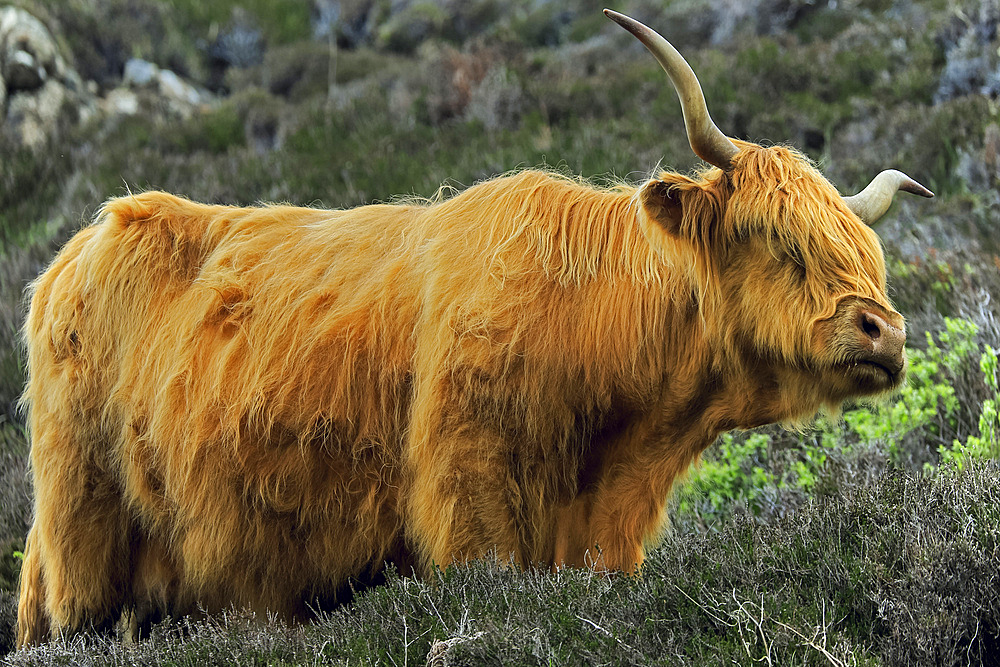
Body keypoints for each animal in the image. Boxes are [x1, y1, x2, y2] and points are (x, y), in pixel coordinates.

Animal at [15, 11, 932, 648]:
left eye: (865, 251)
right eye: (777, 238)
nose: (884, 333)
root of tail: (88, 237)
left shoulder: (606, 537)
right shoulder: (472, 505)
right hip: (85, 546)